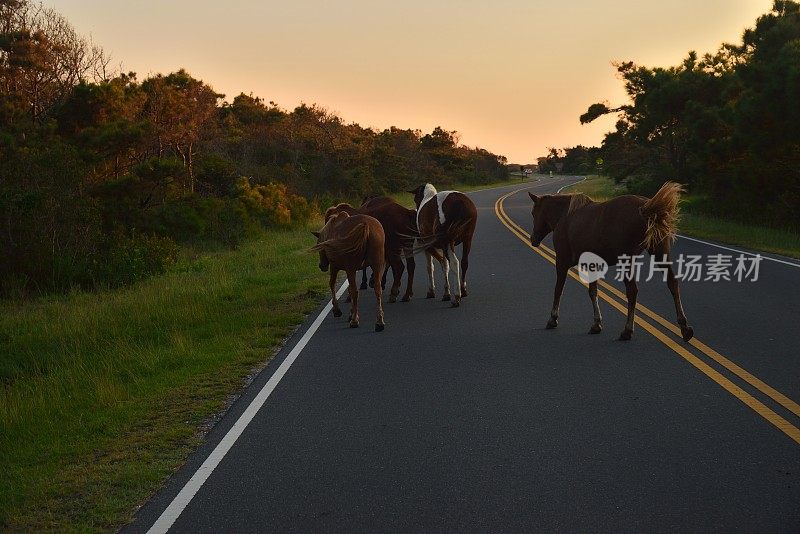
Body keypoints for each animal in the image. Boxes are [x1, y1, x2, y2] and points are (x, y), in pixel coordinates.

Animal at [528, 183, 692, 344]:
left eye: (534, 213)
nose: (533, 239)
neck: (564, 216)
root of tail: (646, 207)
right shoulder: (592, 265)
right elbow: (593, 292)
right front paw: (596, 324)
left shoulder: (561, 262)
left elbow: (558, 290)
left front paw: (553, 319)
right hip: (659, 252)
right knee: (672, 283)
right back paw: (685, 328)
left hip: (627, 260)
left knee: (632, 291)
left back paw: (627, 331)